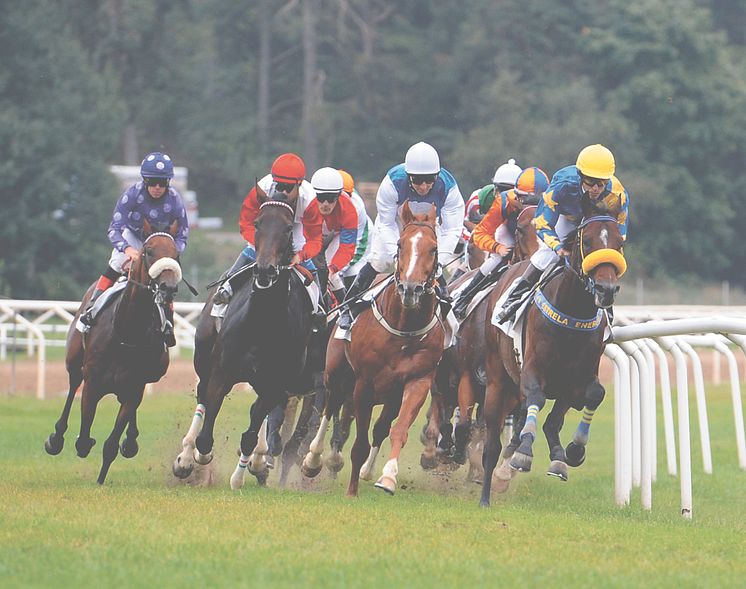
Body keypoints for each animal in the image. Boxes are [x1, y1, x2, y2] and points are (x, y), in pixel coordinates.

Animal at [44, 220, 182, 482]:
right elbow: (84, 437)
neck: (126, 333)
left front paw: (101, 479)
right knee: (72, 386)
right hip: (74, 360)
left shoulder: (134, 386)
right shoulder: (93, 383)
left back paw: (131, 441)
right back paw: (56, 438)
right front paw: (75, 442)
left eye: (176, 254)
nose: (168, 287)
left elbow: (111, 442)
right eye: (149, 251)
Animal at [171, 184, 314, 486]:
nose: (265, 269)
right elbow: (206, 430)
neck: (262, 323)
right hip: (204, 357)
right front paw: (198, 456)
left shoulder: (275, 384)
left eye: (288, 228)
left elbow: (252, 430)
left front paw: (242, 476)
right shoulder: (221, 371)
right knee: (202, 398)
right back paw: (186, 459)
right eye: (258, 223)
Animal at [300, 200, 444, 494]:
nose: (410, 288)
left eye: (433, 248)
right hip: (336, 374)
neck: (404, 330)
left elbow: (396, 430)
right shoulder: (364, 383)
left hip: (389, 393)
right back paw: (313, 459)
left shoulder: (418, 380)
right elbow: (358, 442)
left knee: (379, 426)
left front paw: (387, 477)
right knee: (329, 407)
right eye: (400, 244)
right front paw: (351, 491)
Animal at [418, 204, 540, 476]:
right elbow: (462, 423)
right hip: (445, 372)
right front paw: (448, 452)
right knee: (442, 405)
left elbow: (484, 428)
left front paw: (476, 467)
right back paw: (434, 450)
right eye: (520, 229)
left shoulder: (508, 386)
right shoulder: (467, 374)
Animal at [476, 216, 620, 506]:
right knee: (492, 444)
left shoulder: (577, 379)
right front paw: (523, 454)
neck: (573, 312)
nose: (607, 290)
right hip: (498, 378)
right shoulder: (532, 371)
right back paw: (485, 496)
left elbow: (590, 397)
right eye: (588, 242)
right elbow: (536, 399)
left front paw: (571, 451)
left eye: (620, 242)